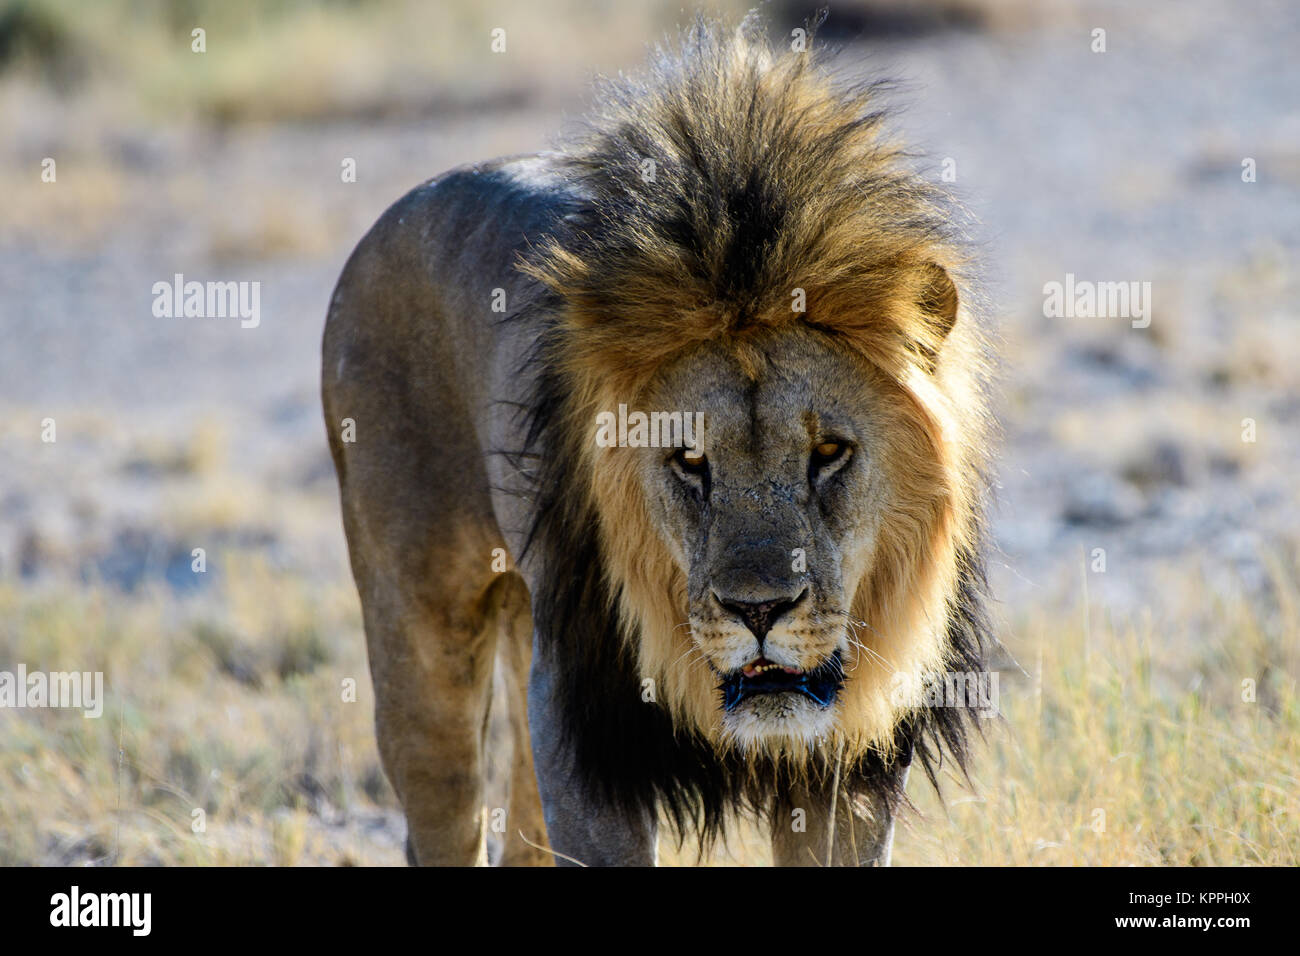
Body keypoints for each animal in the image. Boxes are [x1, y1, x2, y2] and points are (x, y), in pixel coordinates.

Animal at [321, 16, 995, 866]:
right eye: (689, 462)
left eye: (830, 453)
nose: (759, 610)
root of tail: (381, 228)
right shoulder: (584, 730)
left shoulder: (850, 767)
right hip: (424, 636)